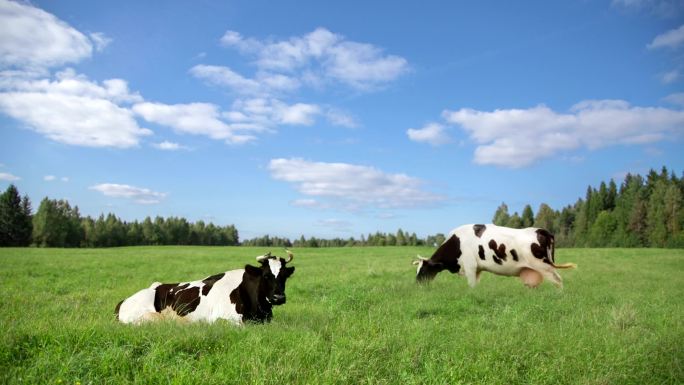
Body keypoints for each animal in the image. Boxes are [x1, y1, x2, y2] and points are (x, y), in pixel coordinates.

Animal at [412, 224, 576, 286]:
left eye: (423, 270)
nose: (417, 283)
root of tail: (541, 230)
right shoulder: (477, 269)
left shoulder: (470, 266)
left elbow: (471, 285)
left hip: (544, 265)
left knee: (558, 280)